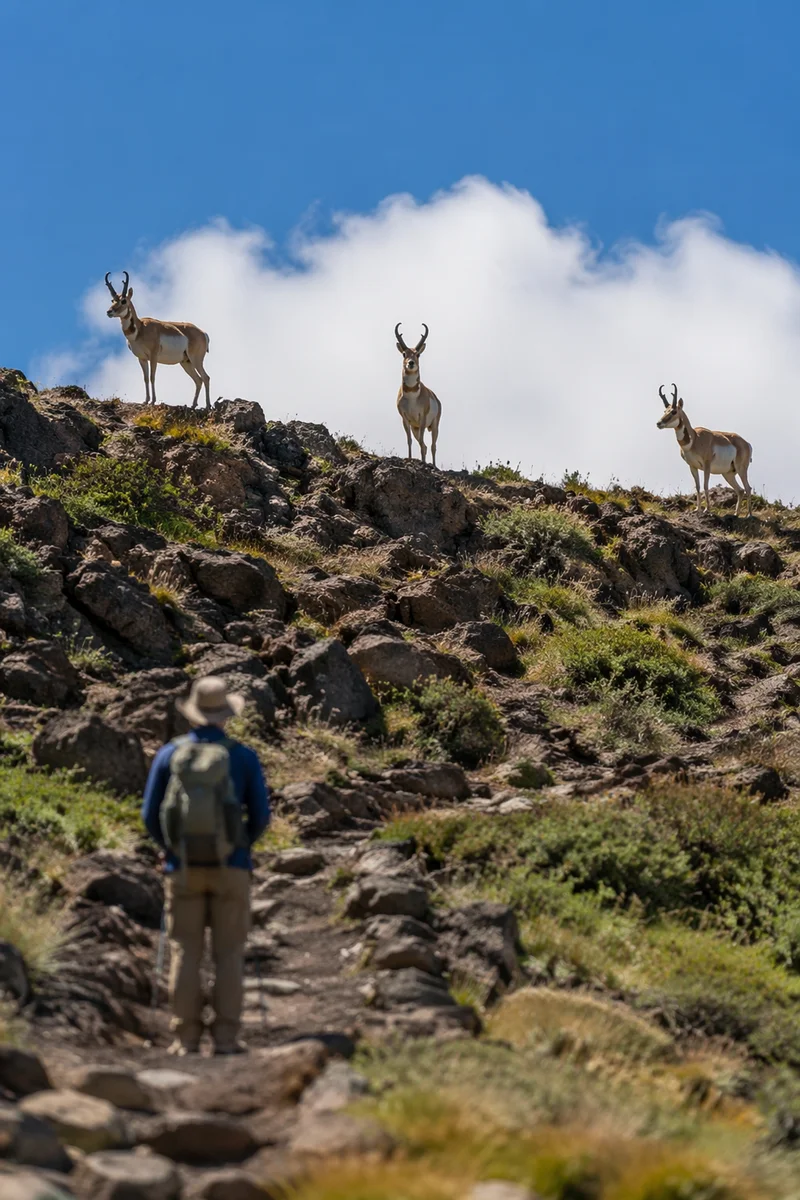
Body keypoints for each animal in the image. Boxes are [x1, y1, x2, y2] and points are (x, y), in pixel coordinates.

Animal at [105, 272, 211, 408]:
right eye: (112, 300)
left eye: (123, 300)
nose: (109, 311)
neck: (140, 329)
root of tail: (202, 332)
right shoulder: (142, 358)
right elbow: (145, 378)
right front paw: (145, 400)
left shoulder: (153, 356)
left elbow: (152, 377)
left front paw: (153, 401)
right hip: (186, 362)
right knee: (198, 380)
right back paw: (193, 405)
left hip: (195, 359)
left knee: (206, 377)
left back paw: (208, 406)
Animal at [395, 323, 442, 467]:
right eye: (404, 353)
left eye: (418, 354)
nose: (411, 363)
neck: (412, 396)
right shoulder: (405, 419)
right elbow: (410, 440)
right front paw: (410, 458)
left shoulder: (422, 418)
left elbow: (422, 441)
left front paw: (422, 462)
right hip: (415, 427)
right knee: (424, 445)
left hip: (434, 425)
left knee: (432, 446)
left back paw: (433, 464)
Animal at [656, 383, 753, 517]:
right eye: (664, 411)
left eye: (674, 411)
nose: (658, 423)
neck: (695, 439)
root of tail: (746, 443)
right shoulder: (692, 466)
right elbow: (697, 486)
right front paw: (698, 509)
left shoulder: (707, 465)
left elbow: (705, 485)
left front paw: (707, 509)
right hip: (728, 474)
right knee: (740, 490)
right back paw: (735, 514)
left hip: (741, 469)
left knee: (748, 488)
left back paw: (749, 515)